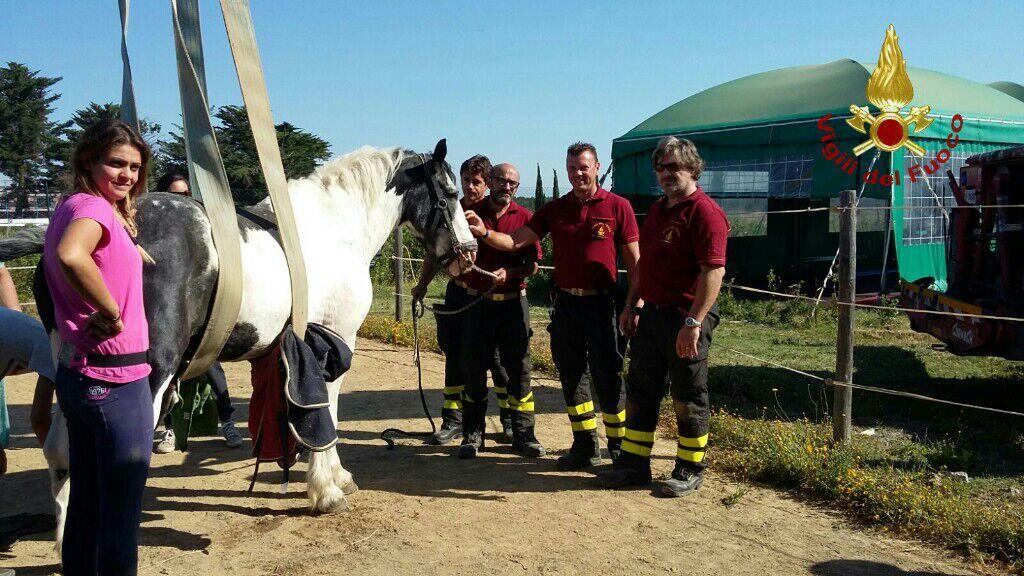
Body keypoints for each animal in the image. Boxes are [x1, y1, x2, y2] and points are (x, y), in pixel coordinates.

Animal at [0, 139, 475, 553]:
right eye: (451, 193)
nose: (468, 252)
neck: (334, 230)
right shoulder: (334, 341)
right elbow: (328, 413)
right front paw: (327, 489)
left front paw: (334, 478)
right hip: (150, 373)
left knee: (61, 449)